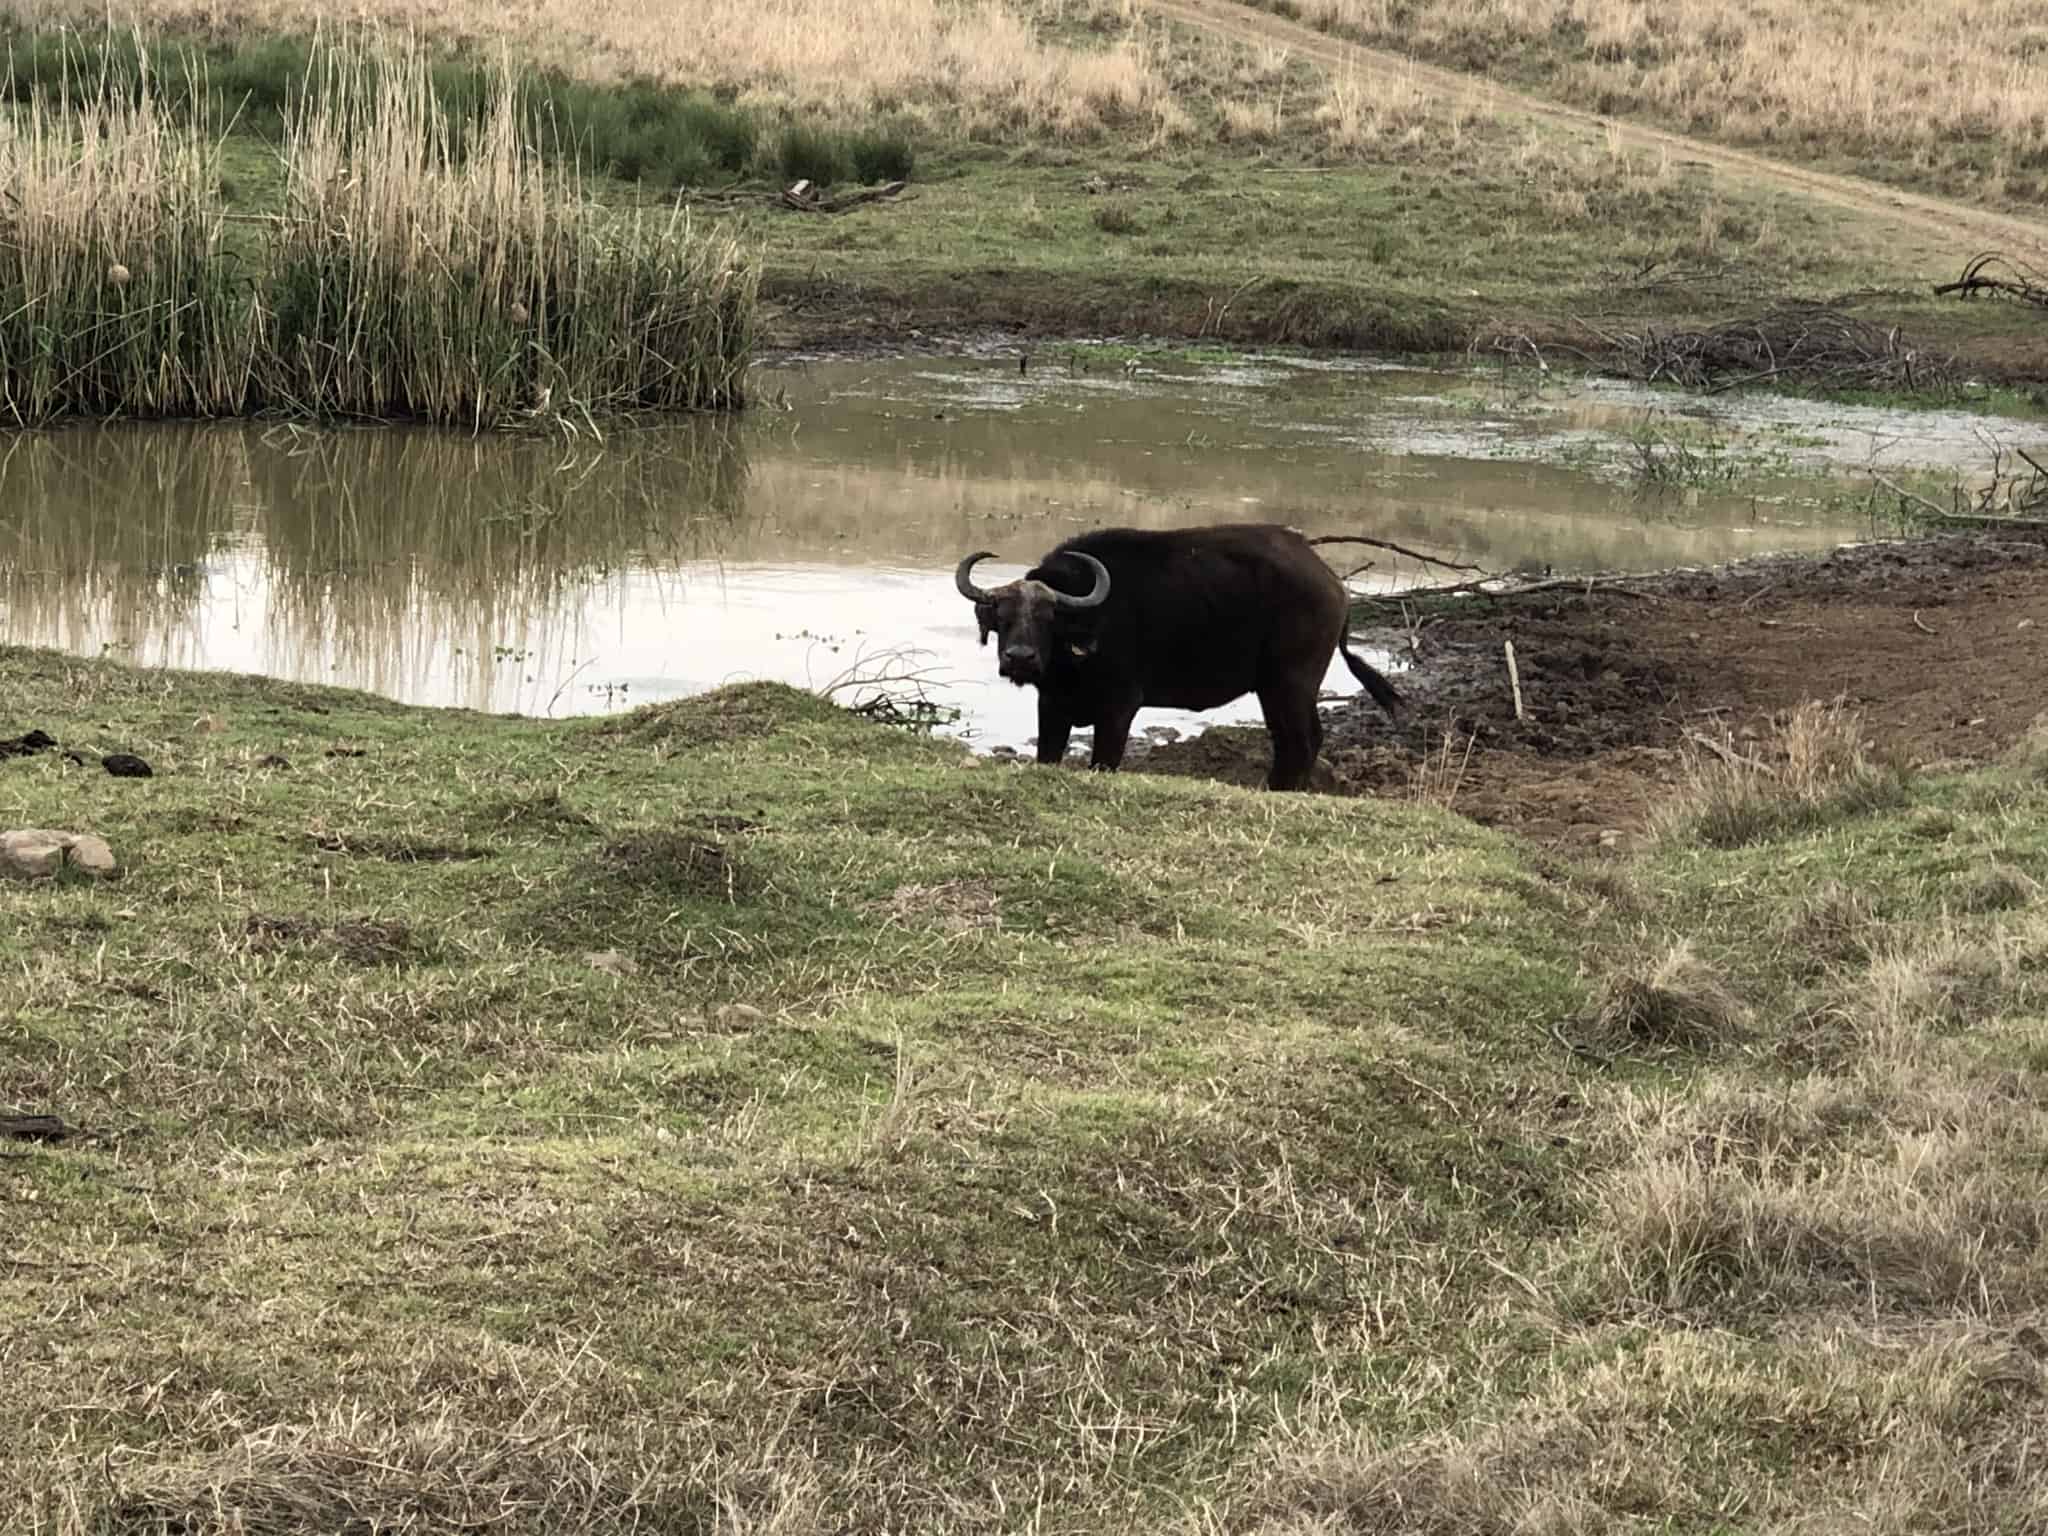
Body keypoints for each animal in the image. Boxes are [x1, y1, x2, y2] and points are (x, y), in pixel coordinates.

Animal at [950, 528, 1400, 794]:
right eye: (1002, 617)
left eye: (1048, 617)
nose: (1020, 658)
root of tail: (1333, 585)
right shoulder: (1052, 706)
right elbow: (1048, 754)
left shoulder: (1119, 708)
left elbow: (1104, 761)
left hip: (1289, 683)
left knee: (1302, 741)